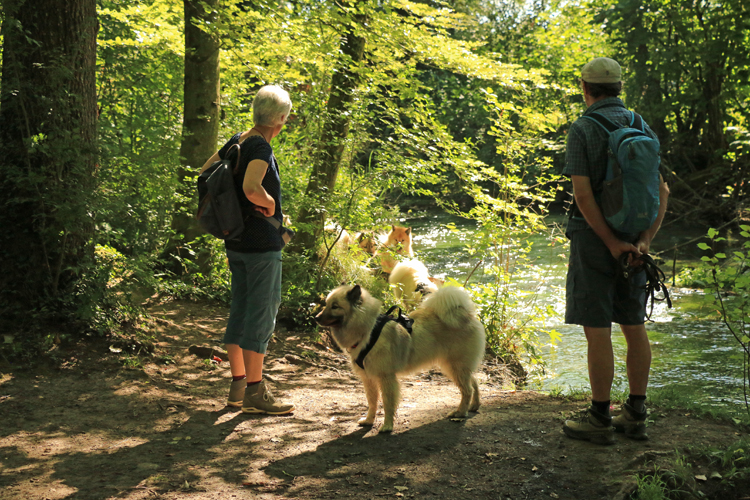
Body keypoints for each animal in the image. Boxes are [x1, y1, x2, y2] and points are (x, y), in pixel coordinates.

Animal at [312, 284, 484, 432]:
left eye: (335, 306)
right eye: (327, 304)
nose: (316, 317)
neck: (369, 331)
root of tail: (467, 315)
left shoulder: (386, 377)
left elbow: (388, 403)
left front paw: (387, 426)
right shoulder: (368, 379)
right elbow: (372, 403)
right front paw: (369, 420)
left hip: (455, 366)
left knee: (467, 389)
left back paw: (460, 413)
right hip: (455, 367)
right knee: (473, 381)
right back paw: (474, 405)